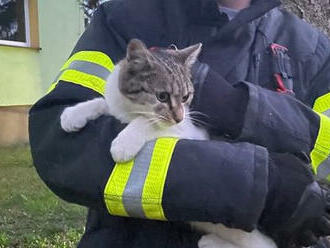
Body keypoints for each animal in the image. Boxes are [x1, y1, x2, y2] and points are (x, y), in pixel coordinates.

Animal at [60, 38, 278, 248]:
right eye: (162, 96)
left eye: (185, 96)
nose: (179, 117)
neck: (132, 110)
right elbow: (103, 102)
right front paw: (74, 114)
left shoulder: (188, 131)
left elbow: (149, 122)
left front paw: (124, 143)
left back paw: (212, 243)